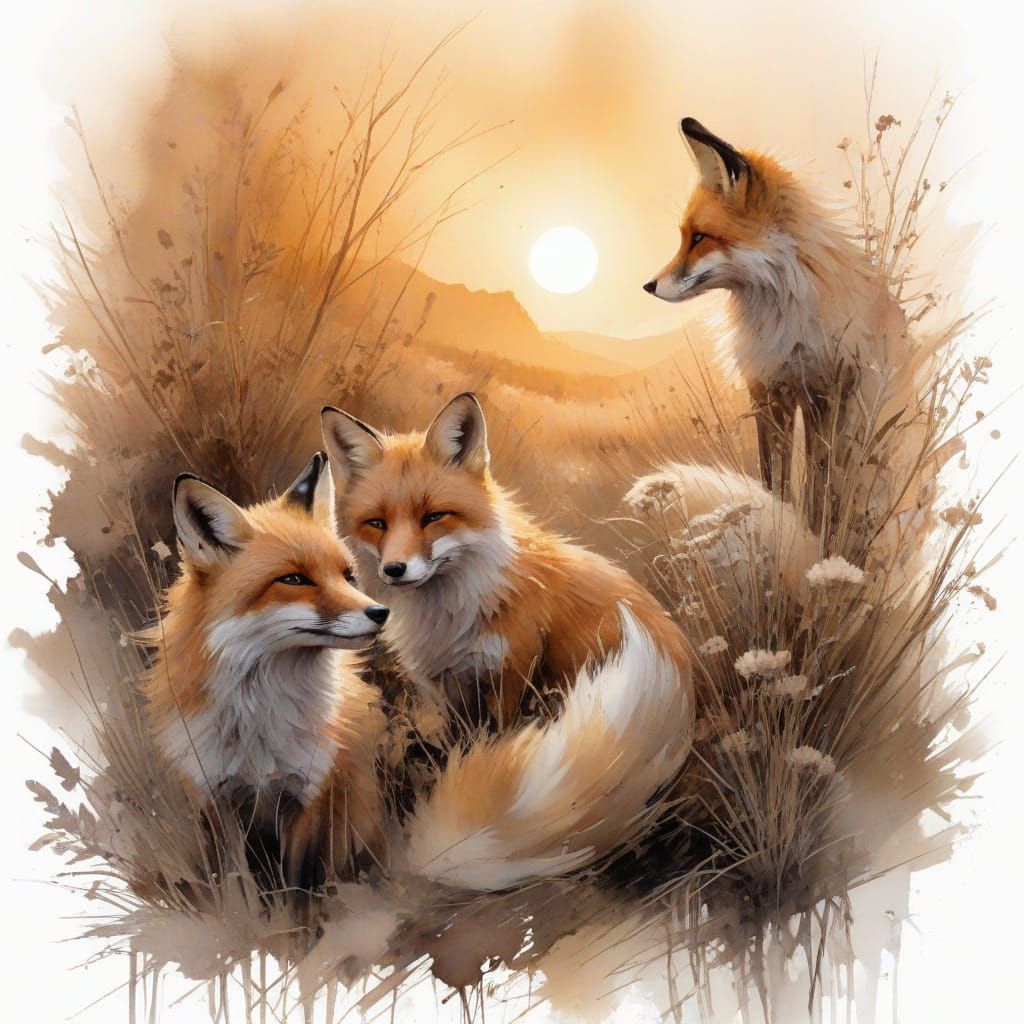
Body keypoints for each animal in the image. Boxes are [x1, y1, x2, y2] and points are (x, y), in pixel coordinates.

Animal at [142, 452, 390, 889]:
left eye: (347, 575)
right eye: (294, 579)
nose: (380, 613)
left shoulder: (307, 796)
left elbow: (295, 889)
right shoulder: (217, 799)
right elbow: (240, 886)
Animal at [320, 393, 695, 891]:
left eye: (433, 517)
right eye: (376, 523)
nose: (394, 570)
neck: (457, 615)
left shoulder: (511, 676)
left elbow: (497, 738)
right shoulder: (447, 690)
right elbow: (458, 747)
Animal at [643, 117, 913, 510]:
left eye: (699, 238)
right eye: (685, 237)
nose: (649, 286)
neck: (783, 325)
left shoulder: (828, 395)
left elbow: (819, 485)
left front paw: (810, 525)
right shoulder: (767, 394)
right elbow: (776, 481)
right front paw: (779, 517)